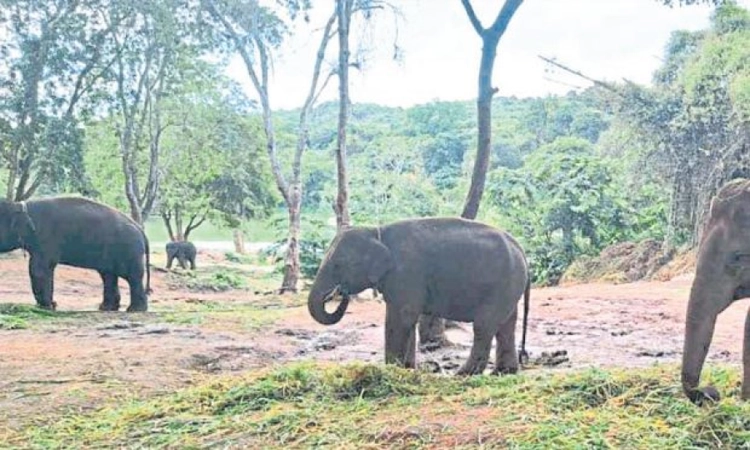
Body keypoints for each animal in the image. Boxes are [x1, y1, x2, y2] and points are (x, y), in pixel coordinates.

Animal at [0, 196, 151, 312]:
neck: (20, 206)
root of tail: (140, 229)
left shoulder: (46, 240)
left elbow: (38, 269)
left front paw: (47, 307)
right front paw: (51, 305)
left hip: (129, 249)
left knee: (131, 276)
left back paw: (135, 309)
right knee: (108, 275)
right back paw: (107, 308)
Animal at [307, 217, 531, 375]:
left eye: (338, 265)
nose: (340, 291)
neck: (377, 231)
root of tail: (521, 249)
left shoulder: (407, 272)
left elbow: (401, 317)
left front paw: (391, 371)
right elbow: (406, 320)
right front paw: (406, 369)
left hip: (502, 285)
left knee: (484, 325)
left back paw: (464, 373)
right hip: (509, 286)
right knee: (506, 325)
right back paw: (504, 372)